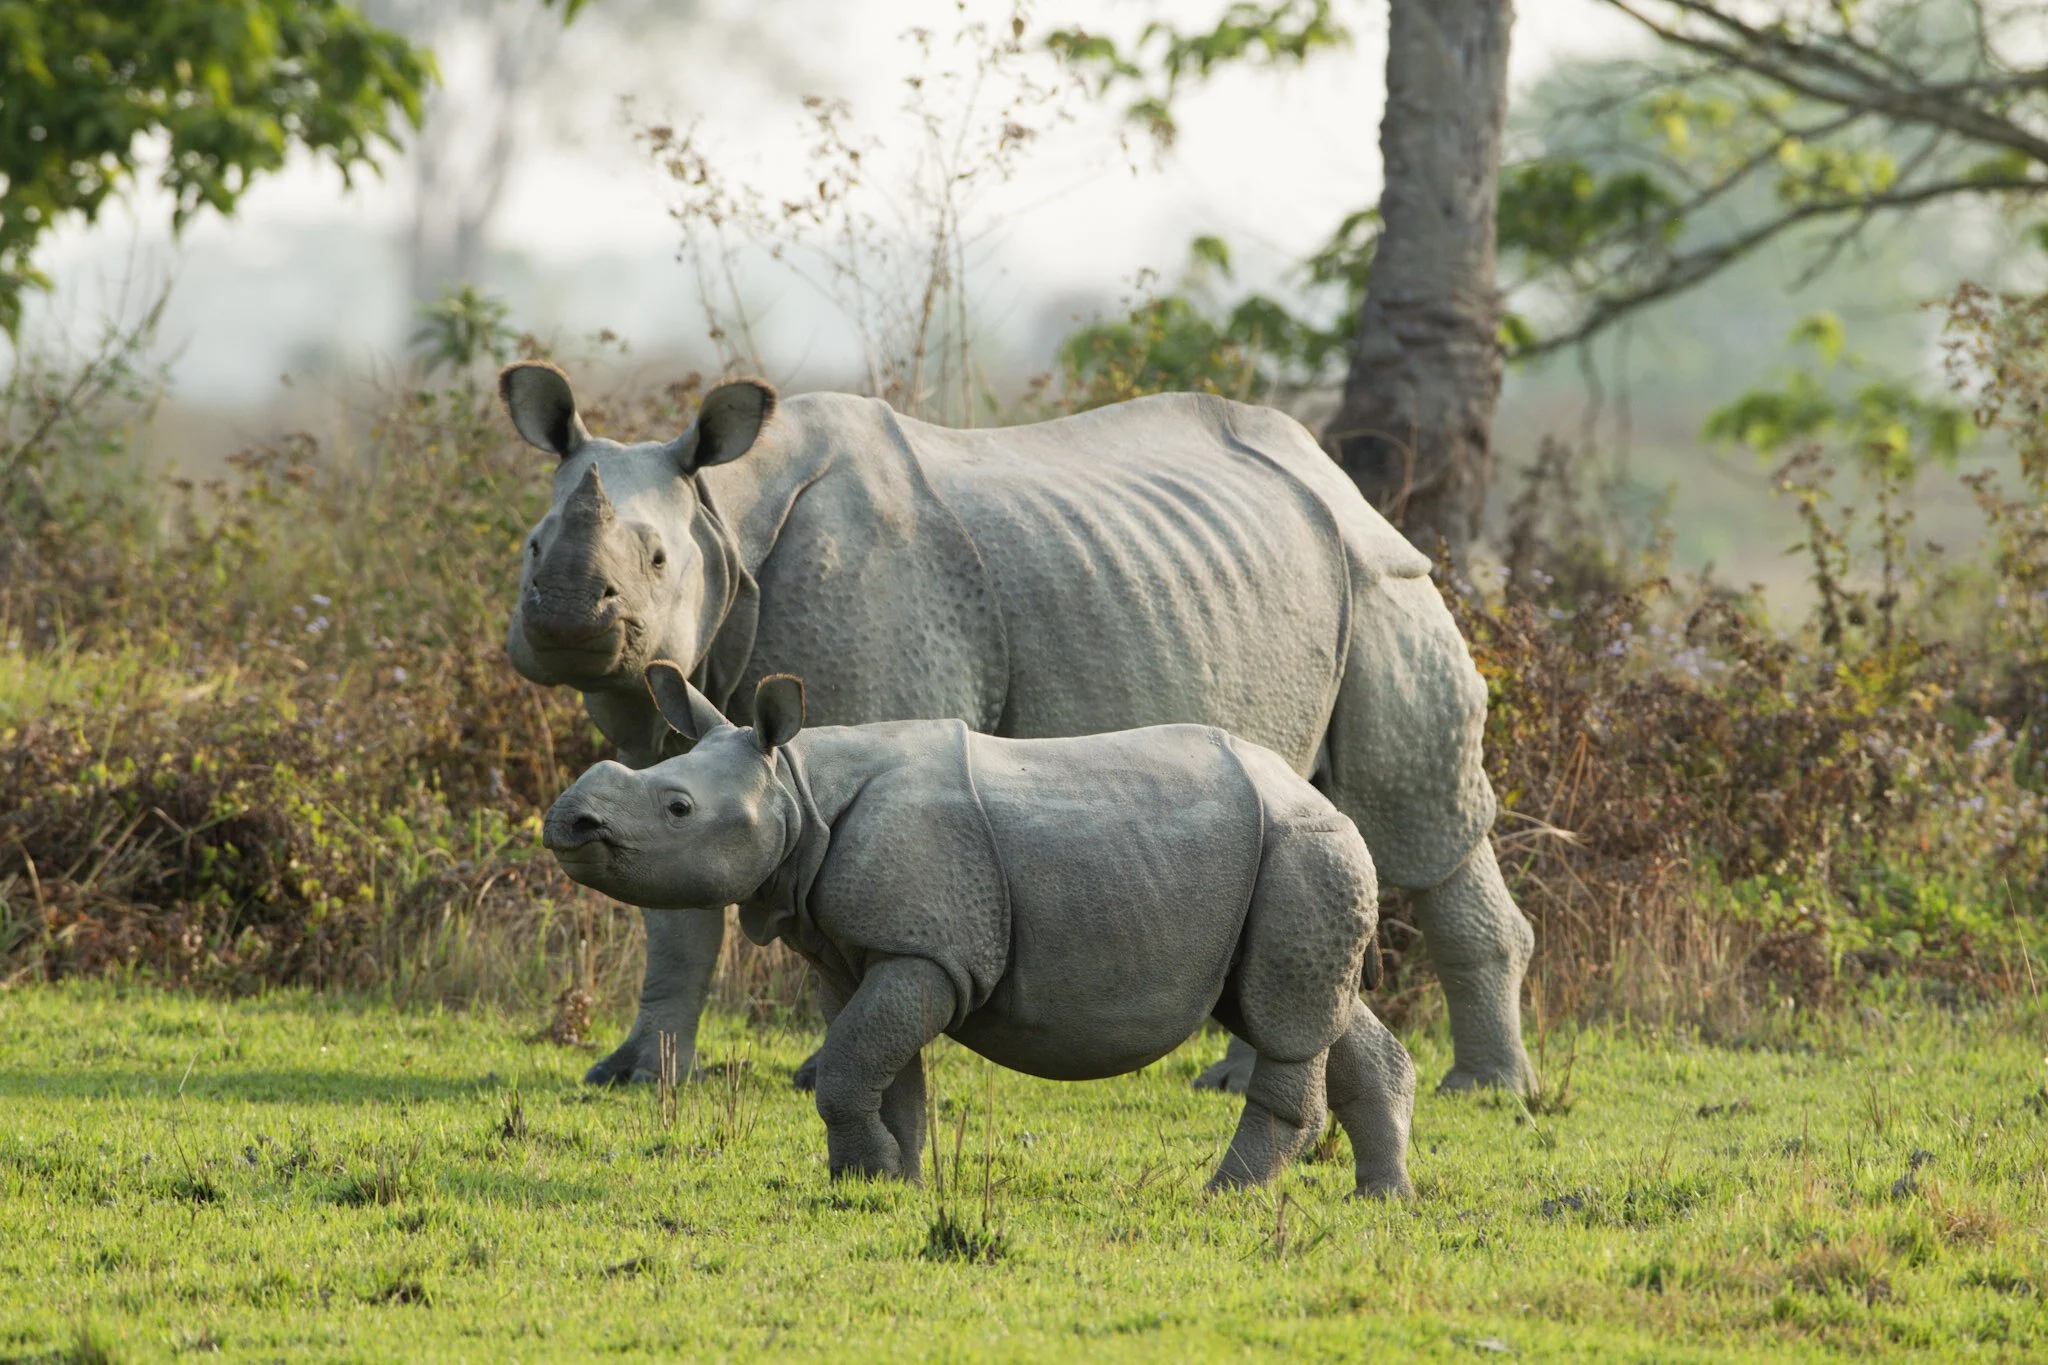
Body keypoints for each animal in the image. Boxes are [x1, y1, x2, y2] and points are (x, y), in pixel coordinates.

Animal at [498, 362, 1536, 1096]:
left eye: (657, 560)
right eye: (532, 545)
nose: (563, 617)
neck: (726, 512)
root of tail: (1337, 477)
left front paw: (821, 1069)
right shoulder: (664, 727)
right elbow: (674, 904)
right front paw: (635, 1075)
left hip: (1385, 577)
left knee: (1418, 825)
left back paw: (1485, 1091)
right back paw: (1237, 1078)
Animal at [544, 665, 1416, 1197]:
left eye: (678, 807)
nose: (567, 821)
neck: (796, 787)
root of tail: (1320, 798)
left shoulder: (929, 952)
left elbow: (851, 1063)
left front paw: (869, 1173)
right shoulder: (871, 950)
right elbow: (885, 1073)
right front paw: (884, 1183)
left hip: (1303, 848)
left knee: (1285, 1023)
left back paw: (1223, 1195)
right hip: (1288, 865)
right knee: (1314, 1010)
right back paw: (1381, 1198)